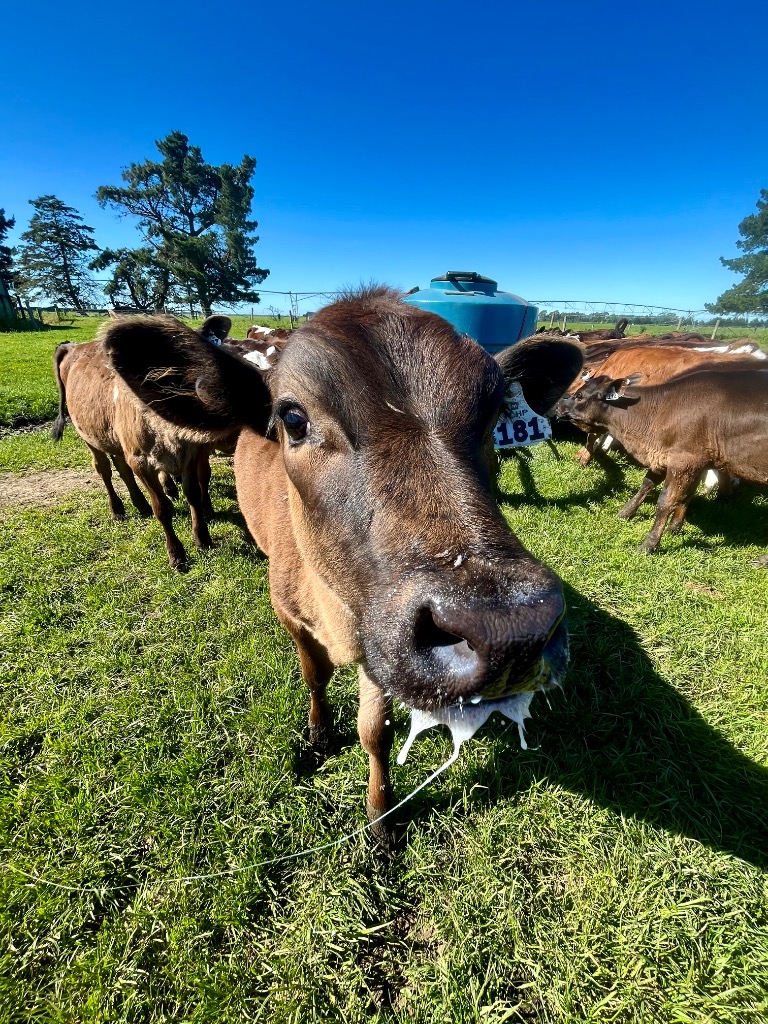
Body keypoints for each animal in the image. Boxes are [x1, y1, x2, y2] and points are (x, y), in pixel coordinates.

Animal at [51, 323, 223, 570]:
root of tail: (74, 346)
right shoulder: (140, 460)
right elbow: (161, 507)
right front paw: (176, 554)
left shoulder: (191, 452)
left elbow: (193, 494)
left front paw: (202, 538)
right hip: (88, 435)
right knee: (103, 469)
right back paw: (117, 509)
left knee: (121, 468)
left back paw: (140, 504)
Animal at [101, 288, 584, 835]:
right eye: (293, 418)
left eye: (495, 413)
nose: (510, 630)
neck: (333, 613)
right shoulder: (291, 614)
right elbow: (315, 677)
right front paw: (318, 736)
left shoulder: (378, 640)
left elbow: (375, 730)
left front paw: (380, 817)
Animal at [555, 366, 768, 560]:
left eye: (580, 396)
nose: (558, 405)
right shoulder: (674, 457)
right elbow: (652, 486)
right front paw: (627, 514)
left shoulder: (684, 459)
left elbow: (665, 501)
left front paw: (649, 544)